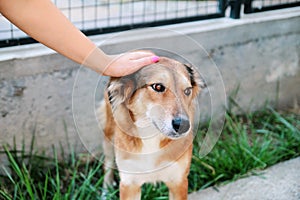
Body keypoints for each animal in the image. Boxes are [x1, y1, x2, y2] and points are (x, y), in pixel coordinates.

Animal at [98, 55, 204, 199]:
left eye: (187, 91)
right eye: (158, 86)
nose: (184, 126)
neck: (151, 137)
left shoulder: (178, 181)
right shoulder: (129, 184)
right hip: (108, 134)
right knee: (108, 162)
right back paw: (107, 189)